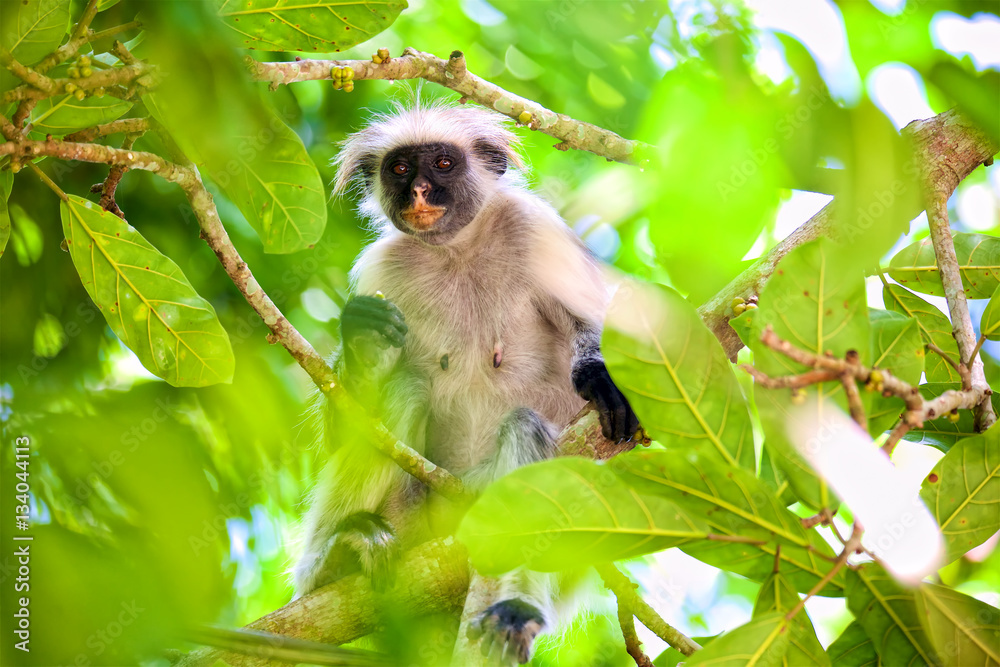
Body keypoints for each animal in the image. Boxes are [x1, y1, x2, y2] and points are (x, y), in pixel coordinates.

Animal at [293, 100, 639, 664]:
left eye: (443, 164)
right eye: (400, 169)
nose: (417, 192)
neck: (459, 249)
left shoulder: (535, 228)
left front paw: (601, 379)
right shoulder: (381, 271)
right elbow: (344, 431)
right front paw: (362, 340)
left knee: (526, 434)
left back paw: (516, 611)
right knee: (405, 388)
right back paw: (332, 562)